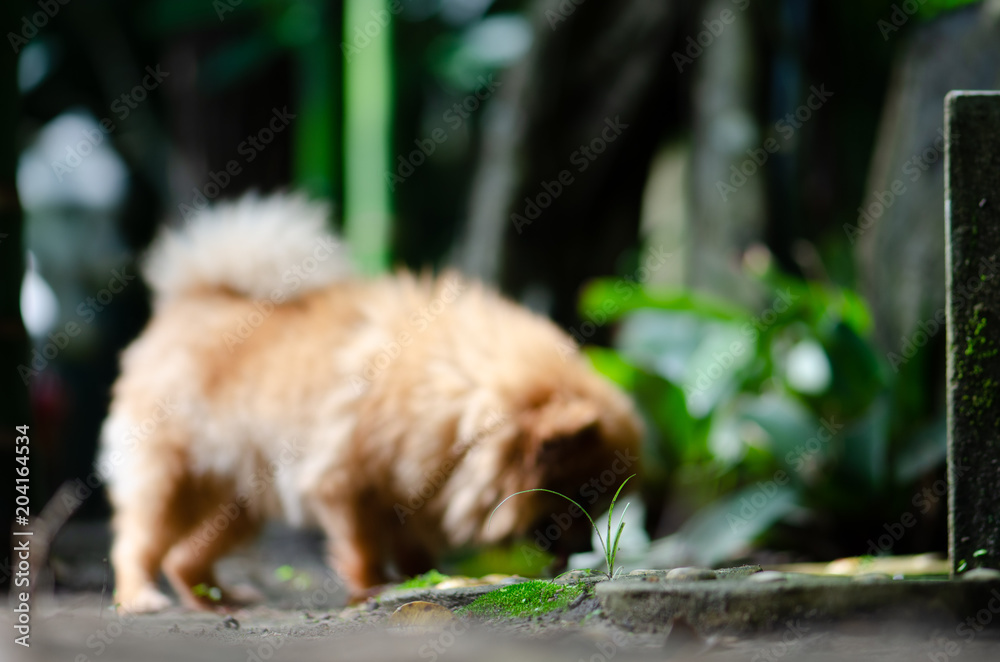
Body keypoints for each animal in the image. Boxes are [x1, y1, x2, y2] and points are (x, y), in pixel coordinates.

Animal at [99, 195, 640, 616]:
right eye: (577, 497)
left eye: (596, 501)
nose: (583, 551)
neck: (451, 386)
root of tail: (195, 298)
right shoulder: (344, 485)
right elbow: (362, 549)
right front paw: (371, 590)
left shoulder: (411, 486)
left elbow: (414, 551)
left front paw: (424, 581)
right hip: (169, 479)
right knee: (136, 545)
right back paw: (139, 599)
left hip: (239, 501)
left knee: (183, 558)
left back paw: (216, 600)